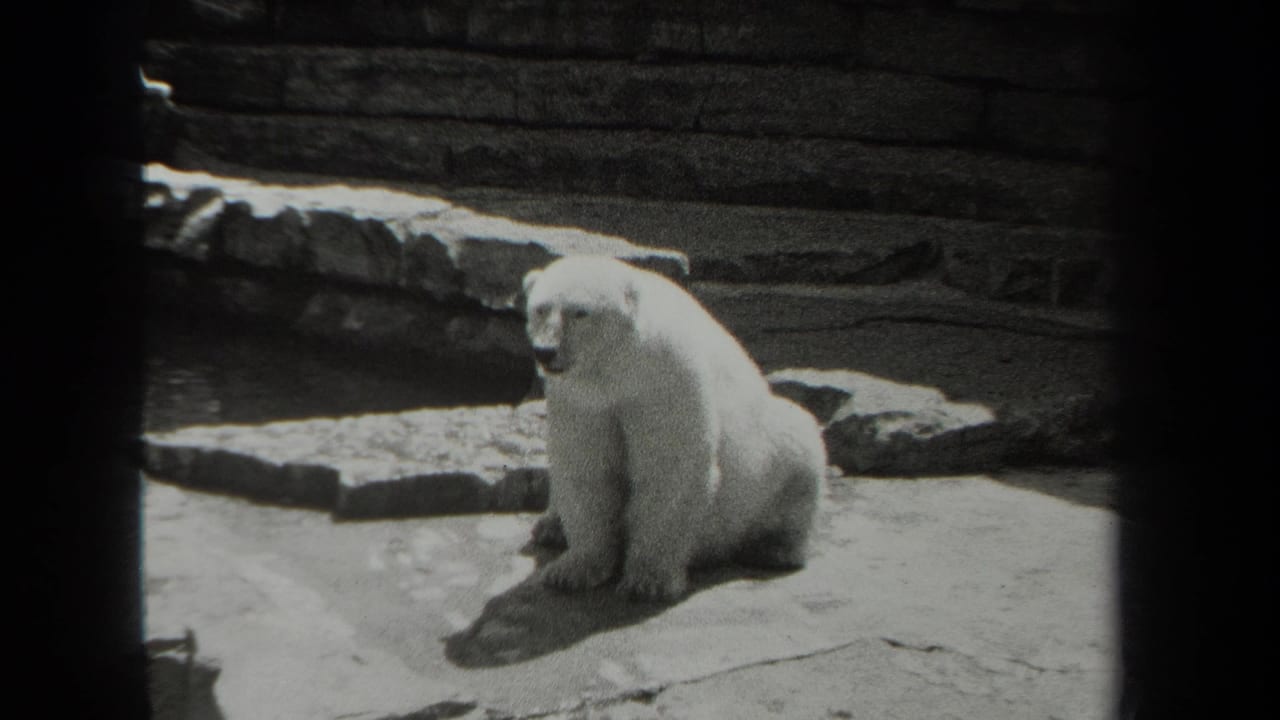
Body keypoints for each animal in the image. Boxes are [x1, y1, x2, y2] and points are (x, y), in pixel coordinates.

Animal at [521, 255, 827, 603]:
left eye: (580, 312)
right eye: (540, 309)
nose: (545, 352)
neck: (620, 371)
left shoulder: (665, 382)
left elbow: (669, 469)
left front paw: (648, 580)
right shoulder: (582, 400)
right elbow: (587, 469)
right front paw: (572, 570)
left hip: (769, 456)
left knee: (798, 447)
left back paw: (774, 549)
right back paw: (550, 527)